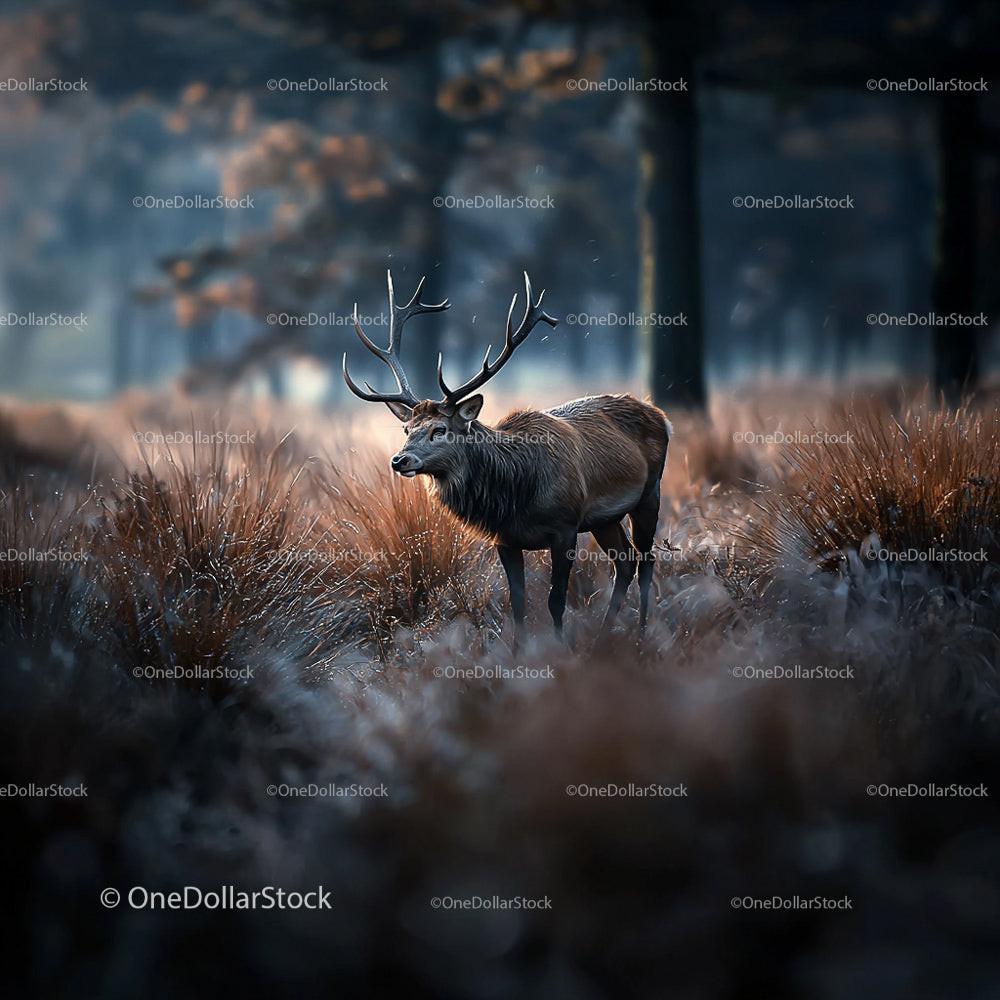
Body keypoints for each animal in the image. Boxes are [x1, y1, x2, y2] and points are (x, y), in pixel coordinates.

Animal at [343, 271, 671, 641]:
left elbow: (556, 601)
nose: (400, 460)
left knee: (646, 559)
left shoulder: (565, 527)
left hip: (650, 493)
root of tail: (659, 414)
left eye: (440, 429)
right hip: (605, 518)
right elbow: (517, 606)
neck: (517, 495)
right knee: (624, 561)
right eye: (406, 429)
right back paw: (605, 633)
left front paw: (562, 649)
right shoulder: (505, 540)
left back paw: (641, 632)